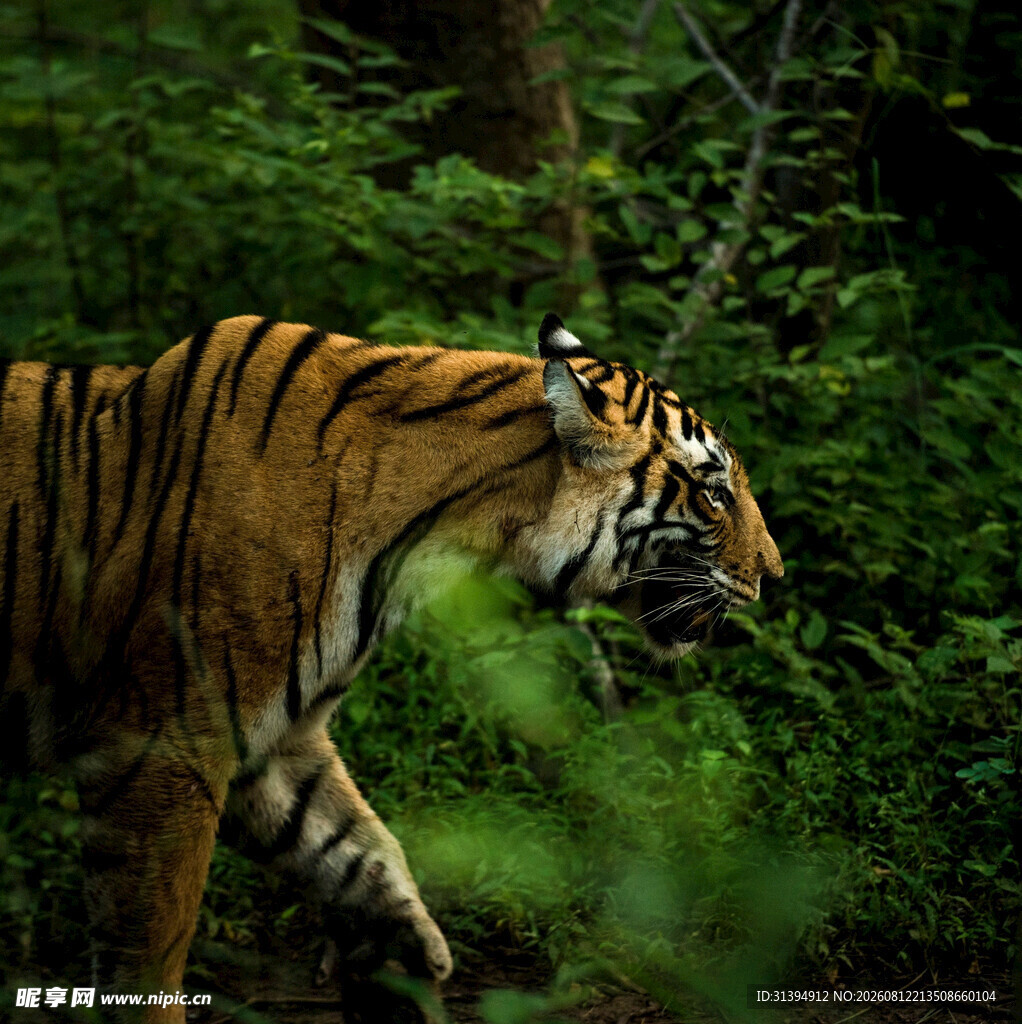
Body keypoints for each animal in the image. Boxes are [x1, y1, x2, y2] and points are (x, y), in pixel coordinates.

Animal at [0, 313, 782, 1020]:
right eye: (714, 492)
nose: (775, 576)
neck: (432, 537)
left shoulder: (273, 743)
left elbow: (356, 849)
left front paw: (403, 962)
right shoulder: (163, 745)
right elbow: (150, 945)